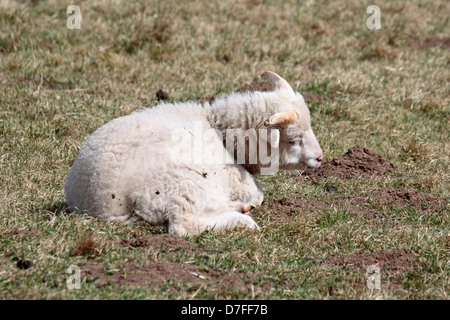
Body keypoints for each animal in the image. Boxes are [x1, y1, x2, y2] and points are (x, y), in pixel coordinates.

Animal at [64, 72, 324, 235]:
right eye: (294, 140)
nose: (320, 158)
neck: (220, 130)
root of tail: (99, 204)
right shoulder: (236, 179)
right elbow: (258, 192)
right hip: (182, 181)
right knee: (183, 225)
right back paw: (241, 219)